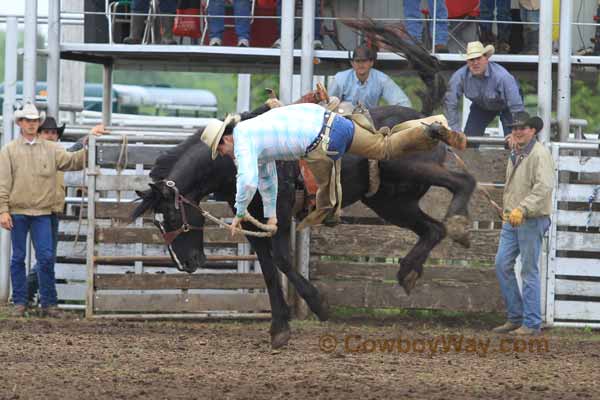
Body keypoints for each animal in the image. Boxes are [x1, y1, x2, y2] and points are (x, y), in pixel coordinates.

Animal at [132, 26, 478, 348]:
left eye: (172, 218)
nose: (186, 264)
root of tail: (421, 117)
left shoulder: (281, 212)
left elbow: (283, 260)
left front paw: (318, 304)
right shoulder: (254, 224)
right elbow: (268, 269)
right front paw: (279, 328)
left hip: (399, 165)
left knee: (463, 183)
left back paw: (459, 224)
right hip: (390, 201)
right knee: (432, 229)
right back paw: (408, 271)